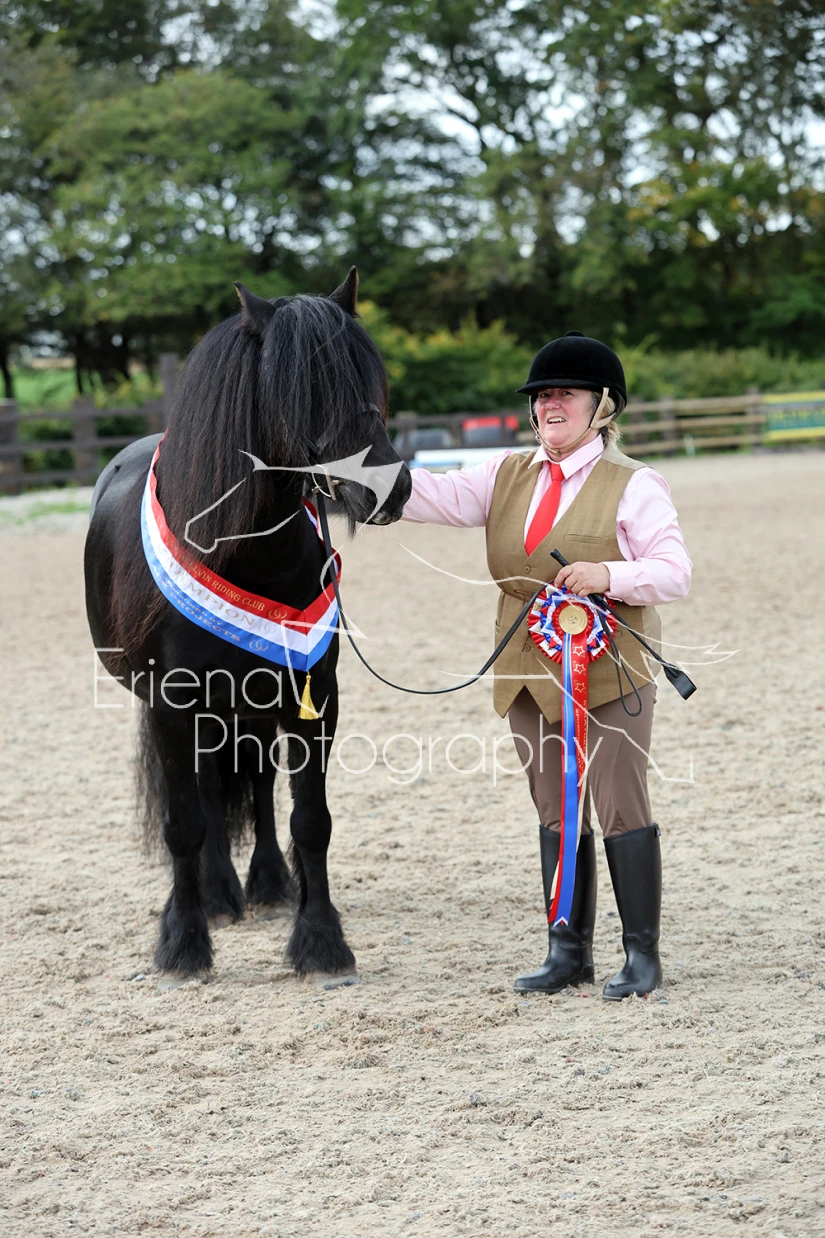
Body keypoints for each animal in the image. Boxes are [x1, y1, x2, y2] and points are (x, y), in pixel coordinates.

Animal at [84, 269, 412, 979]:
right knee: (204, 793)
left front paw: (320, 940)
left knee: (256, 784)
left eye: (369, 378)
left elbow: (310, 819)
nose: (387, 489)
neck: (243, 552)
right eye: (299, 392)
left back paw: (266, 885)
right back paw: (215, 896)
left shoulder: (313, 698)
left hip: (252, 705)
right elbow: (184, 821)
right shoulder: (171, 704)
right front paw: (183, 943)